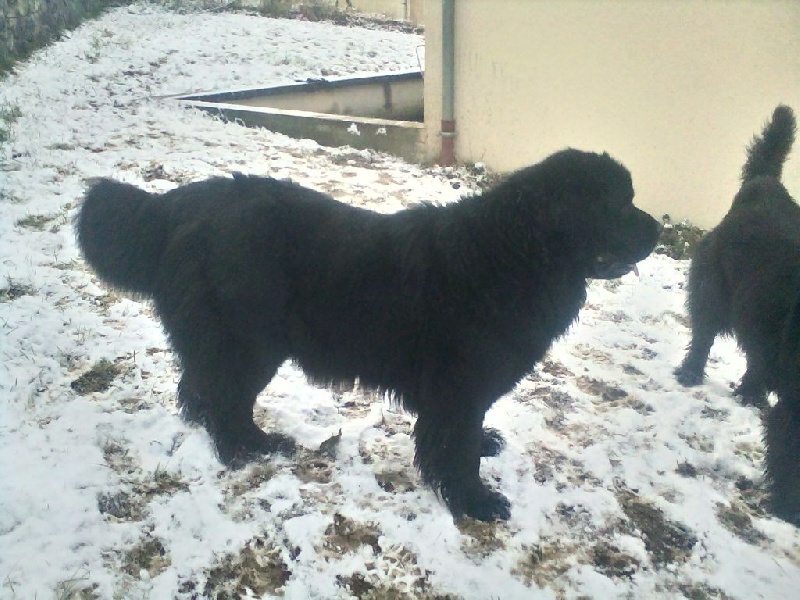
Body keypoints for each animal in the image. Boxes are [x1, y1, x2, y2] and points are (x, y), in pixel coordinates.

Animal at [78, 150, 660, 520]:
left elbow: (466, 437)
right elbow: (454, 449)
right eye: (617, 204)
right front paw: (474, 502)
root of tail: (180, 203)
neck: (516, 255)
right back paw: (250, 448)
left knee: (197, 387)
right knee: (225, 398)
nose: (657, 229)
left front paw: (484, 449)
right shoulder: (457, 390)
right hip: (250, 342)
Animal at [676, 105, 800, 524]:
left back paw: (750, 393)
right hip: (712, 288)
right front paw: (789, 508)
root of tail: (764, 183)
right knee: (703, 335)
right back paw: (691, 373)